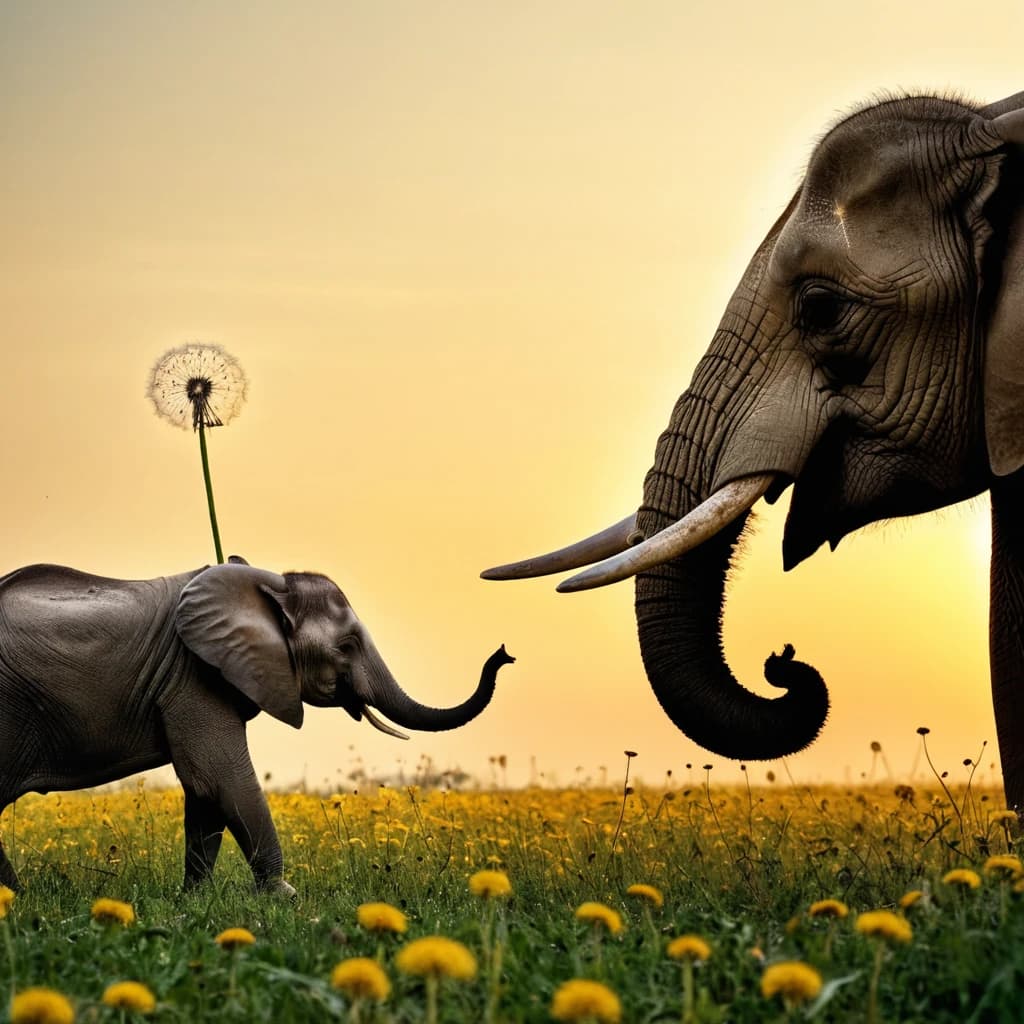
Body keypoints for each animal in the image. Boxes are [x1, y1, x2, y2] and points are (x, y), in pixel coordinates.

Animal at [0, 556, 514, 893]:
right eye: (346, 645)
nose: (504, 654)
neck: (270, 585)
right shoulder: (193, 674)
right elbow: (221, 779)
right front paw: (284, 900)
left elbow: (204, 793)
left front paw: (195, 902)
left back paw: (15, 900)